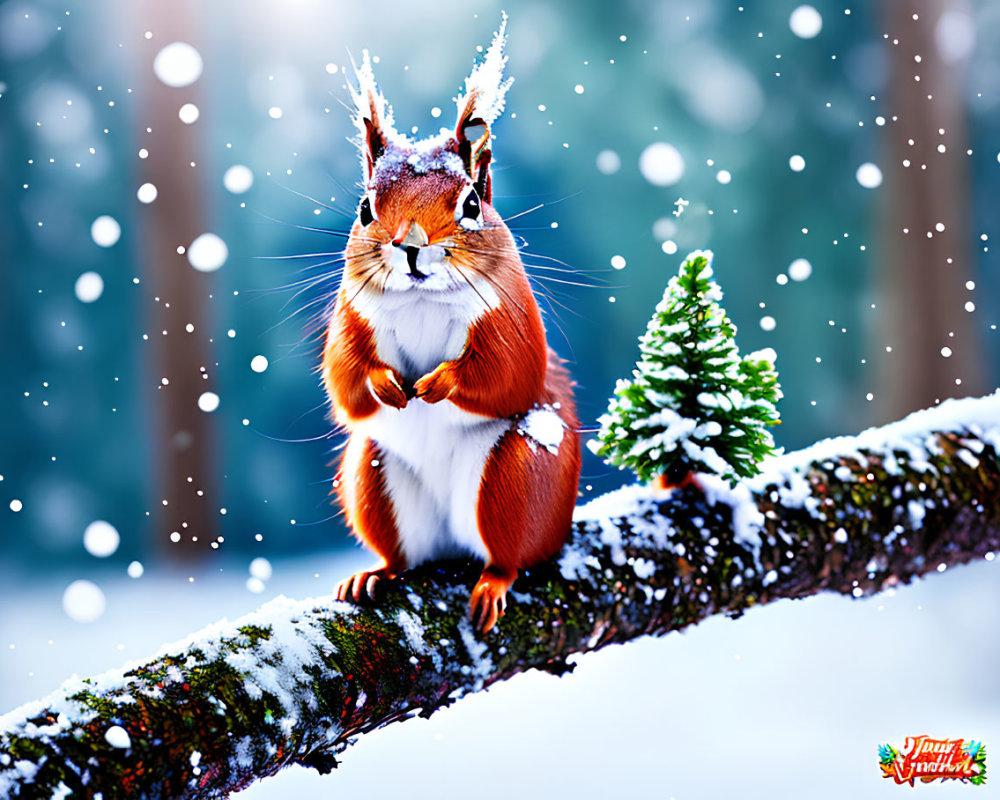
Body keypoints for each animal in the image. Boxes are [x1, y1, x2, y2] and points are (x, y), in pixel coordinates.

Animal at [324, 15, 584, 636]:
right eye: (365, 210)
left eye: (470, 205)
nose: (411, 245)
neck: (422, 299)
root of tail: (451, 543)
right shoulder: (351, 316)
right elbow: (345, 379)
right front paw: (387, 384)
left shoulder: (510, 317)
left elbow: (507, 374)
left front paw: (438, 383)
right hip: (373, 478)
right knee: (403, 553)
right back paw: (375, 573)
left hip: (518, 480)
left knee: (510, 554)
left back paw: (493, 582)